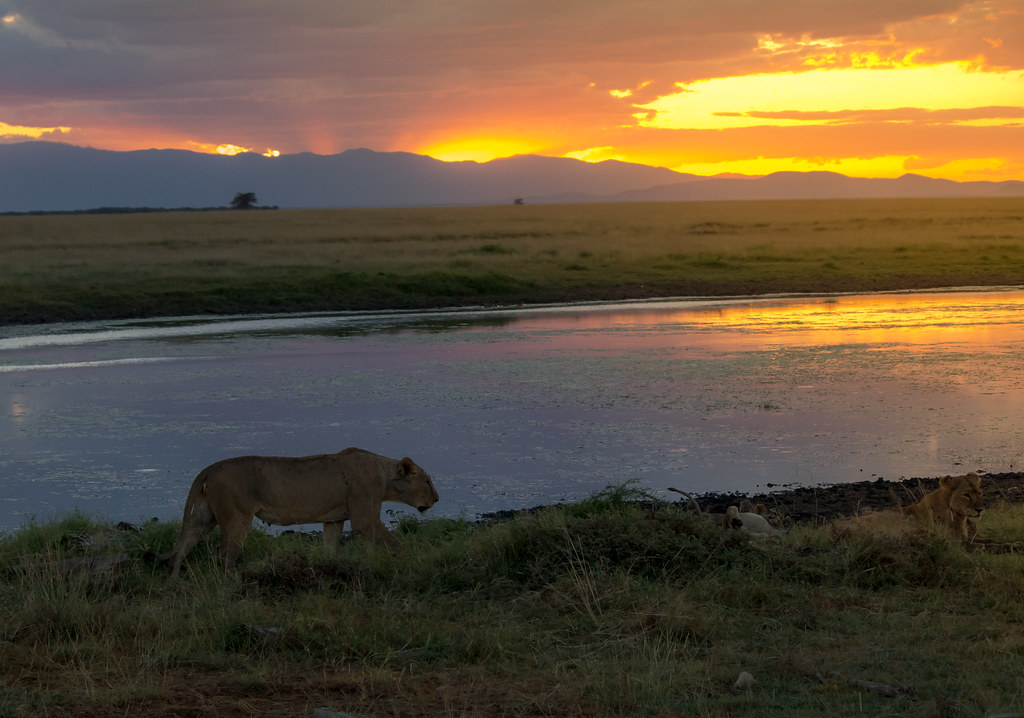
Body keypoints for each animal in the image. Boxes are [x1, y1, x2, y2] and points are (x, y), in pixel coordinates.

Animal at [161, 448, 438, 577]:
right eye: (427, 481)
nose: (437, 498)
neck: (383, 476)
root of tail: (210, 468)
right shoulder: (364, 518)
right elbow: (394, 543)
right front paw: (412, 560)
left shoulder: (334, 519)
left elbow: (331, 549)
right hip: (237, 517)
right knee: (224, 556)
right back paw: (233, 581)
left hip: (205, 515)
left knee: (183, 544)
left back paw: (173, 579)